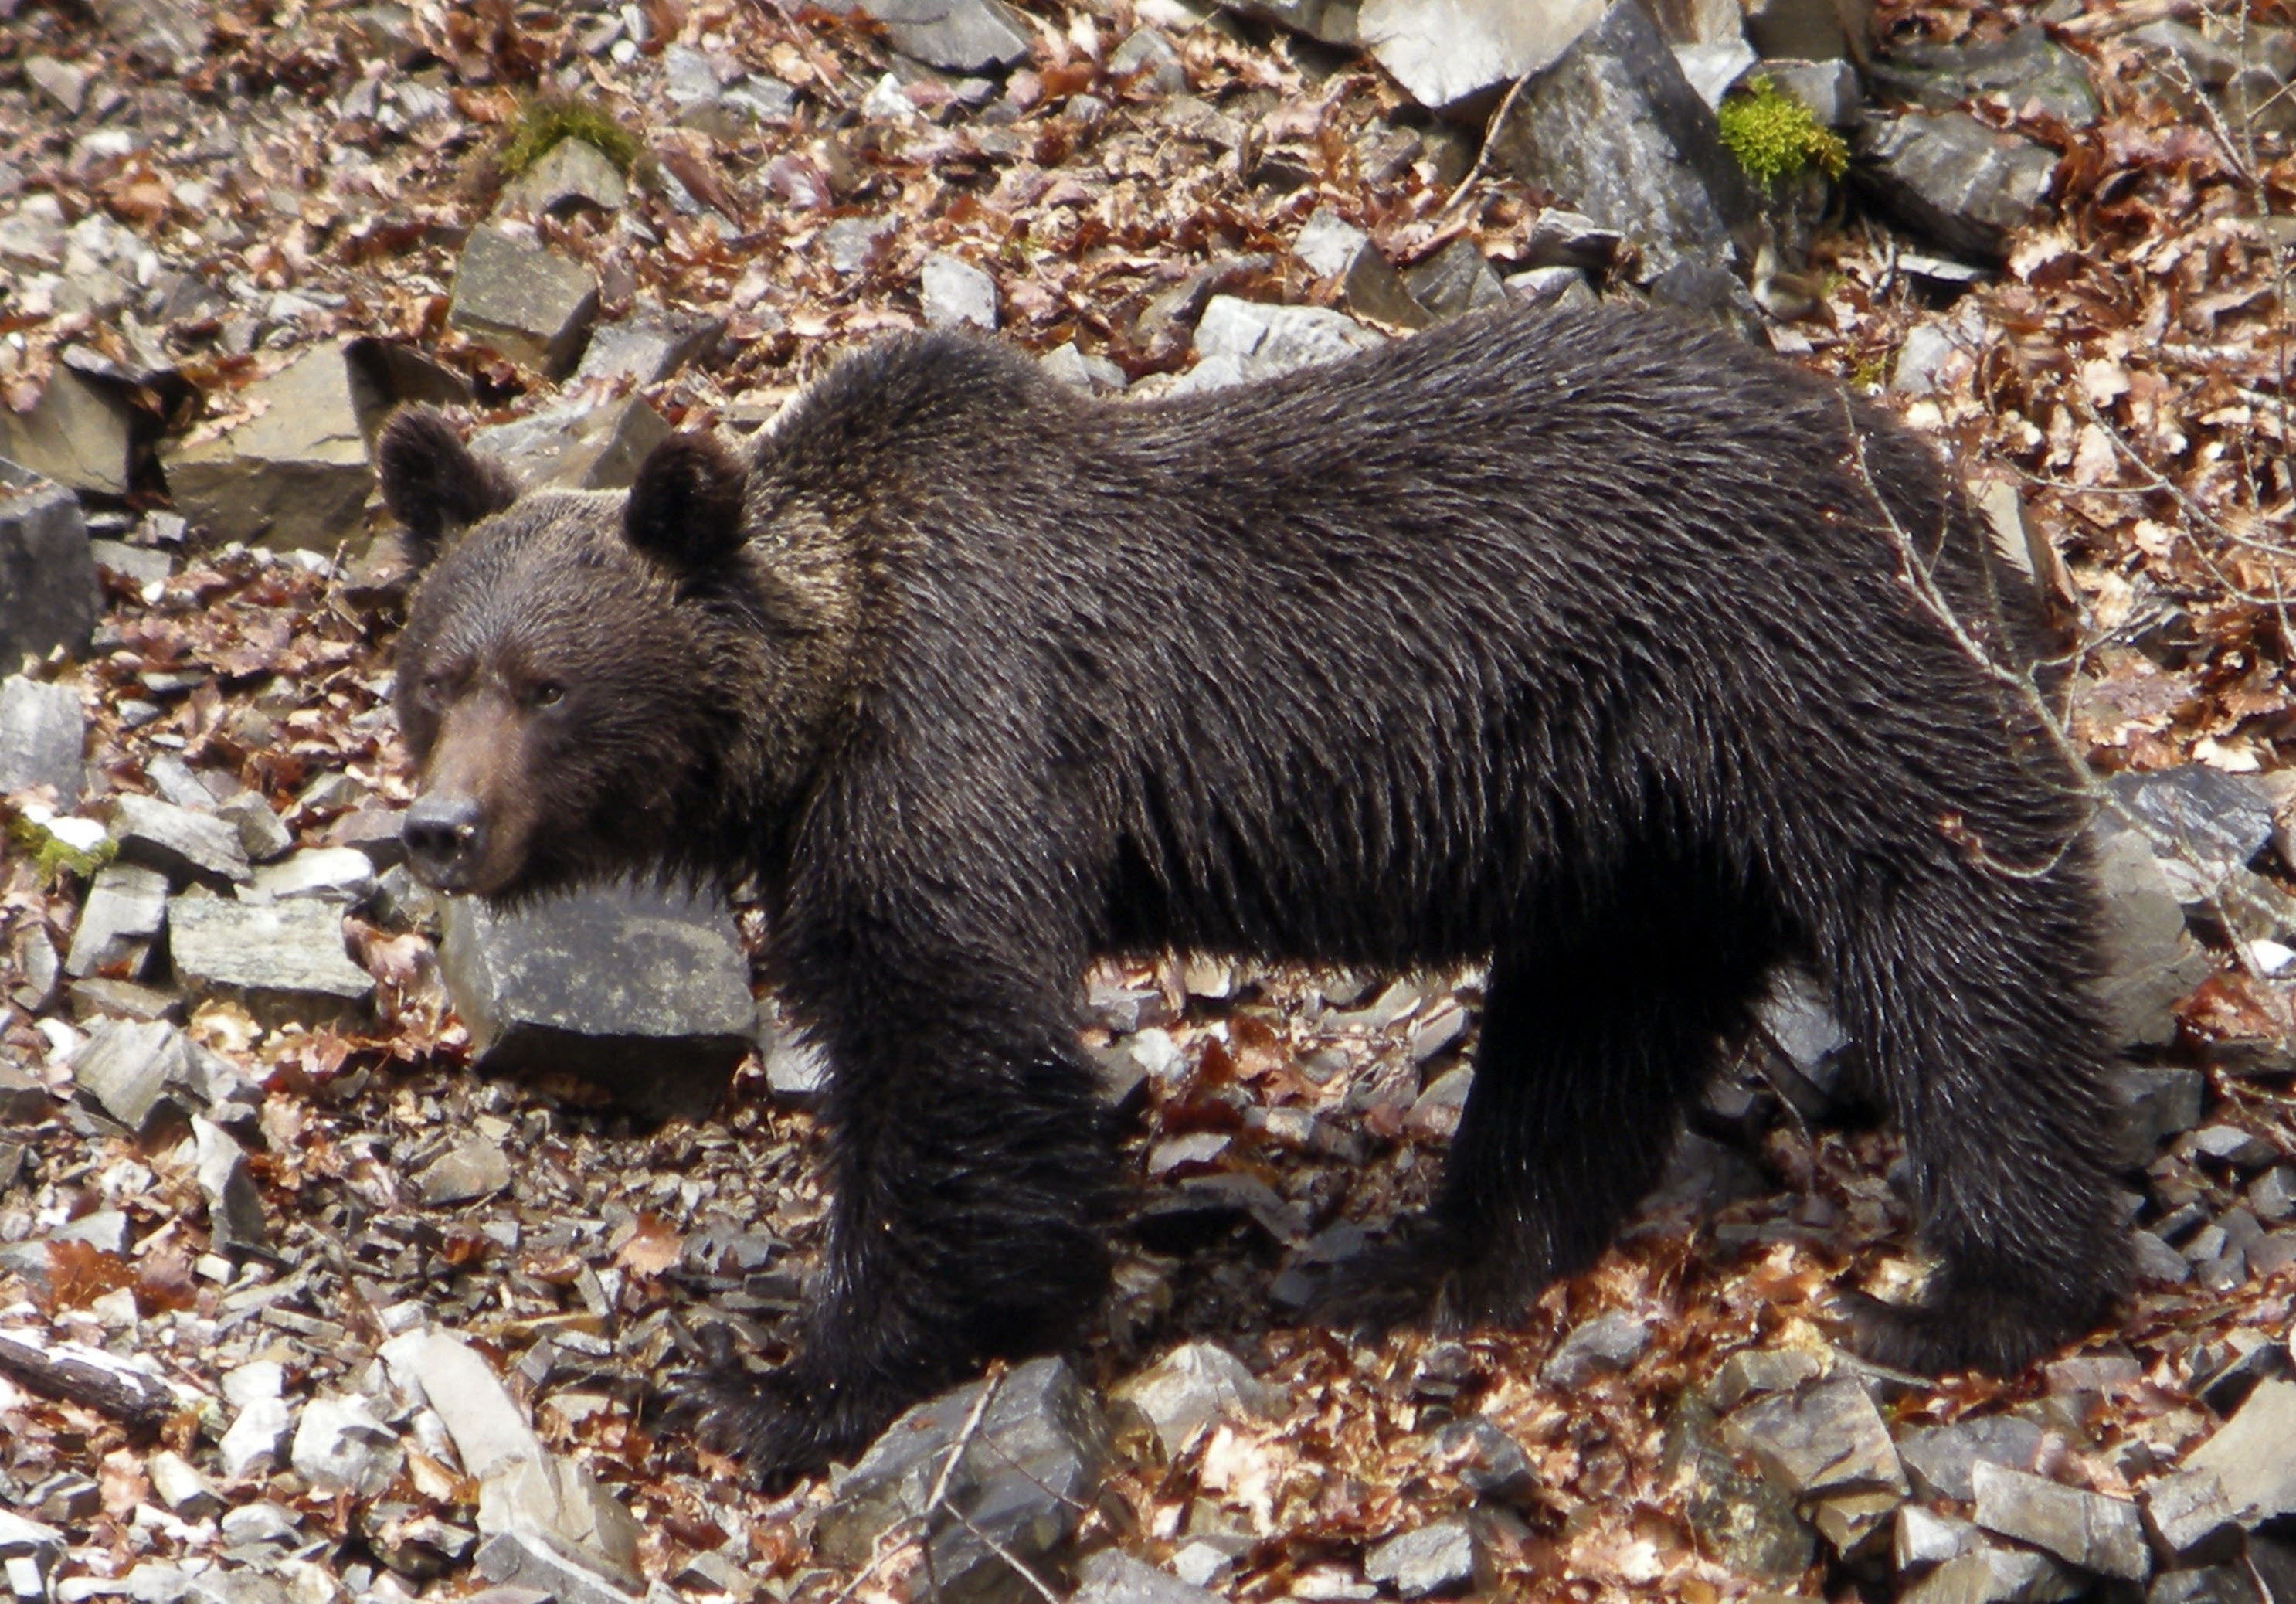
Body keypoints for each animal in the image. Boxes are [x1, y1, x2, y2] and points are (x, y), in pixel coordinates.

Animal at [381, 305, 2131, 1496]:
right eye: (435, 674)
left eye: (547, 686)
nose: (441, 829)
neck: (820, 699)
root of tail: (1930, 472)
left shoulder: (962, 741)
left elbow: (957, 1056)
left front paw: (781, 1382)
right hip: (1638, 824)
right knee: (1591, 1021)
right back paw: (1430, 1254)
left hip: (1799, 663)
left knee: (1958, 931)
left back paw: (1981, 1292)